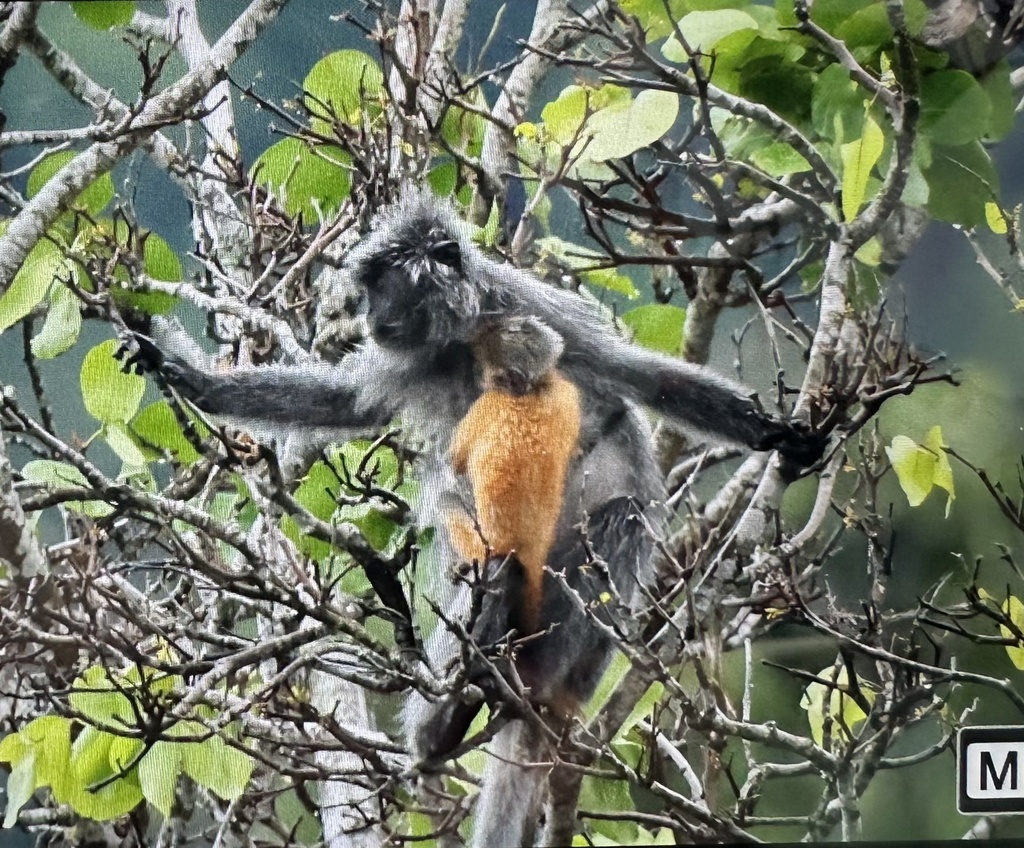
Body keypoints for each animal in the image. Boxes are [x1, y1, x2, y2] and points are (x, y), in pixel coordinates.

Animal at [447, 315, 581, 635]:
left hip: (486, 544)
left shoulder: (488, 403)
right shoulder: (569, 394)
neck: (539, 386)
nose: (479, 377)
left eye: (493, 376)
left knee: (444, 501)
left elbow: (454, 465)